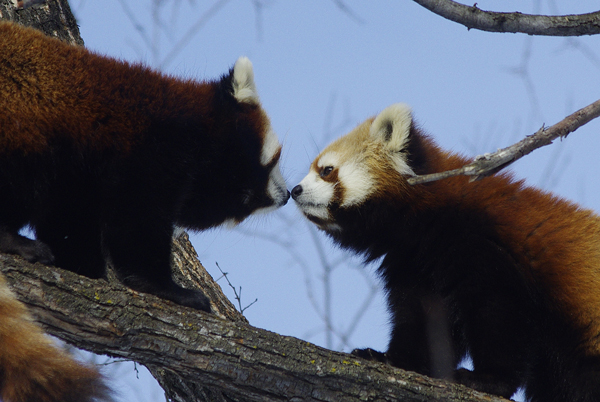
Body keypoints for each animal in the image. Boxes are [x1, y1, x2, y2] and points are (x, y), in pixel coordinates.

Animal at [0, 22, 290, 402]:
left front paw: (81, 265)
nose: (287, 195)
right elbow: (138, 228)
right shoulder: (145, 156)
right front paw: (169, 289)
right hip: (22, 129)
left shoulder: (80, 180)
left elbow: (70, 220)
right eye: (271, 163)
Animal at [292, 103, 600, 402]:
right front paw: (391, 359)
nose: (295, 190)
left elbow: (501, 314)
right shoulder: (415, 264)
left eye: (326, 170)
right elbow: (422, 318)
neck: (427, 219)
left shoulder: (483, 247)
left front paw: (489, 379)